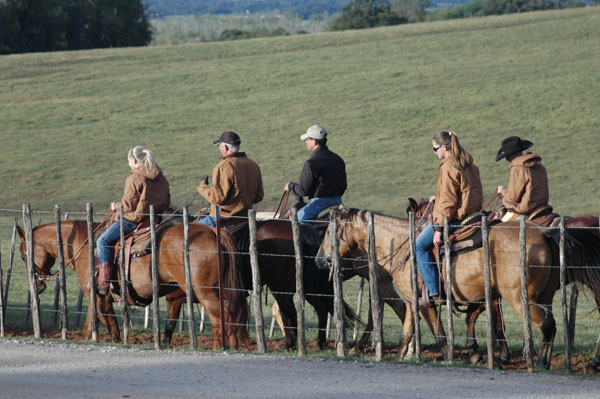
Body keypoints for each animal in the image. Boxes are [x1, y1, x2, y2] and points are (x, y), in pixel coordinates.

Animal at [17, 222, 248, 350]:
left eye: (24, 256)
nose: (38, 285)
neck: (84, 244)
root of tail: (214, 232)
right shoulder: (98, 295)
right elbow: (92, 321)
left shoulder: (98, 295)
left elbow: (109, 322)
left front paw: (116, 340)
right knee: (234, 316)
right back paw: (235, 346)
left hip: (206, 292)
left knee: (221, 319)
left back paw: (220, 347)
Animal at [314, 209, 600, 368]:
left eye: (328, 232)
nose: (319, 260)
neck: (403, 245)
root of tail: (545, 233)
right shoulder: (412, 302)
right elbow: (407, 333)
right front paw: (402, 357)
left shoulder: (423, 303)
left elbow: (440, 334)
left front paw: (450, 355)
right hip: (545, 296)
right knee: (552, 325)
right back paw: (547, 361)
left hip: (522, 300)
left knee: (545, 325)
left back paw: (539, 362)